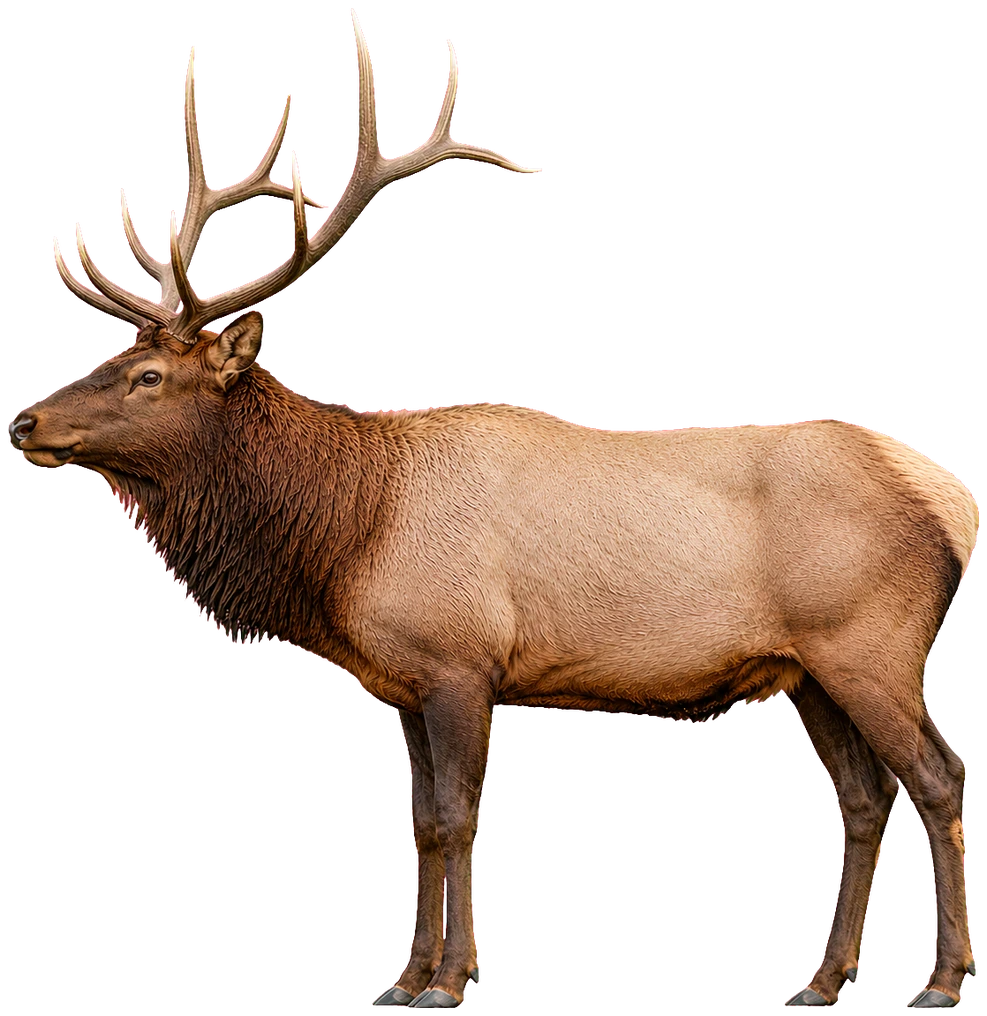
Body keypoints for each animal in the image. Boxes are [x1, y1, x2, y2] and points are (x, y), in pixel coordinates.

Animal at [11, 9, 977, 1011]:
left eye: (148, 376)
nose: (24, 419)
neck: (348, 537)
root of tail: (952, 498)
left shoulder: (458, 658)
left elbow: (458, 814)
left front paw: (448, 979)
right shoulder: (398, 683)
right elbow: (423, 824)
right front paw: (403, 976)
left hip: (870, 643)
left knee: (938, 776)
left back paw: (944, 977)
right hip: (808, 670)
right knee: (863, 797)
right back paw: (822, 978)